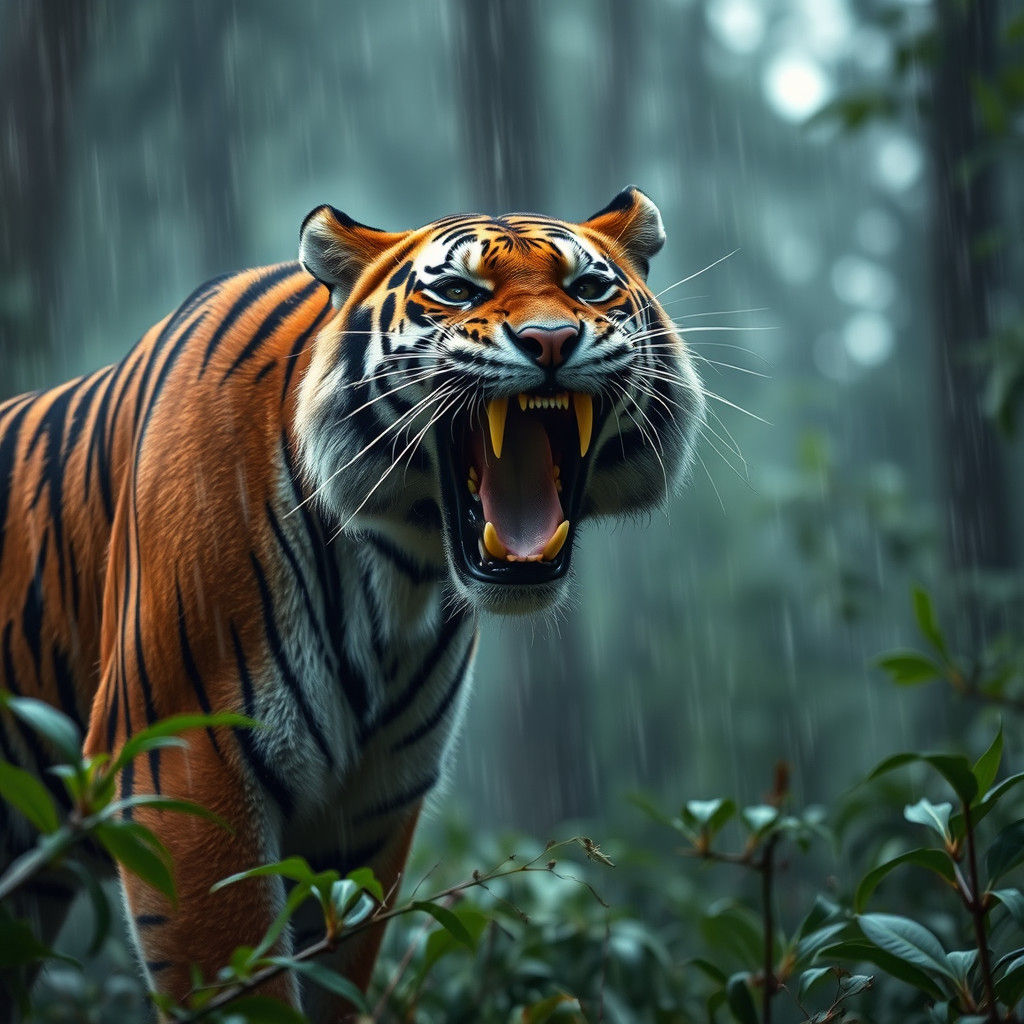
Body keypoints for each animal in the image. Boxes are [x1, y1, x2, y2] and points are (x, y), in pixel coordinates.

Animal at [0, 186, 705, 1019]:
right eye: (457, 291)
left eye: (590, 289)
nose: (552, 341)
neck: (398, 574)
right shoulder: (184, 764)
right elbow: (245, 985)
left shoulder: (368, 806)